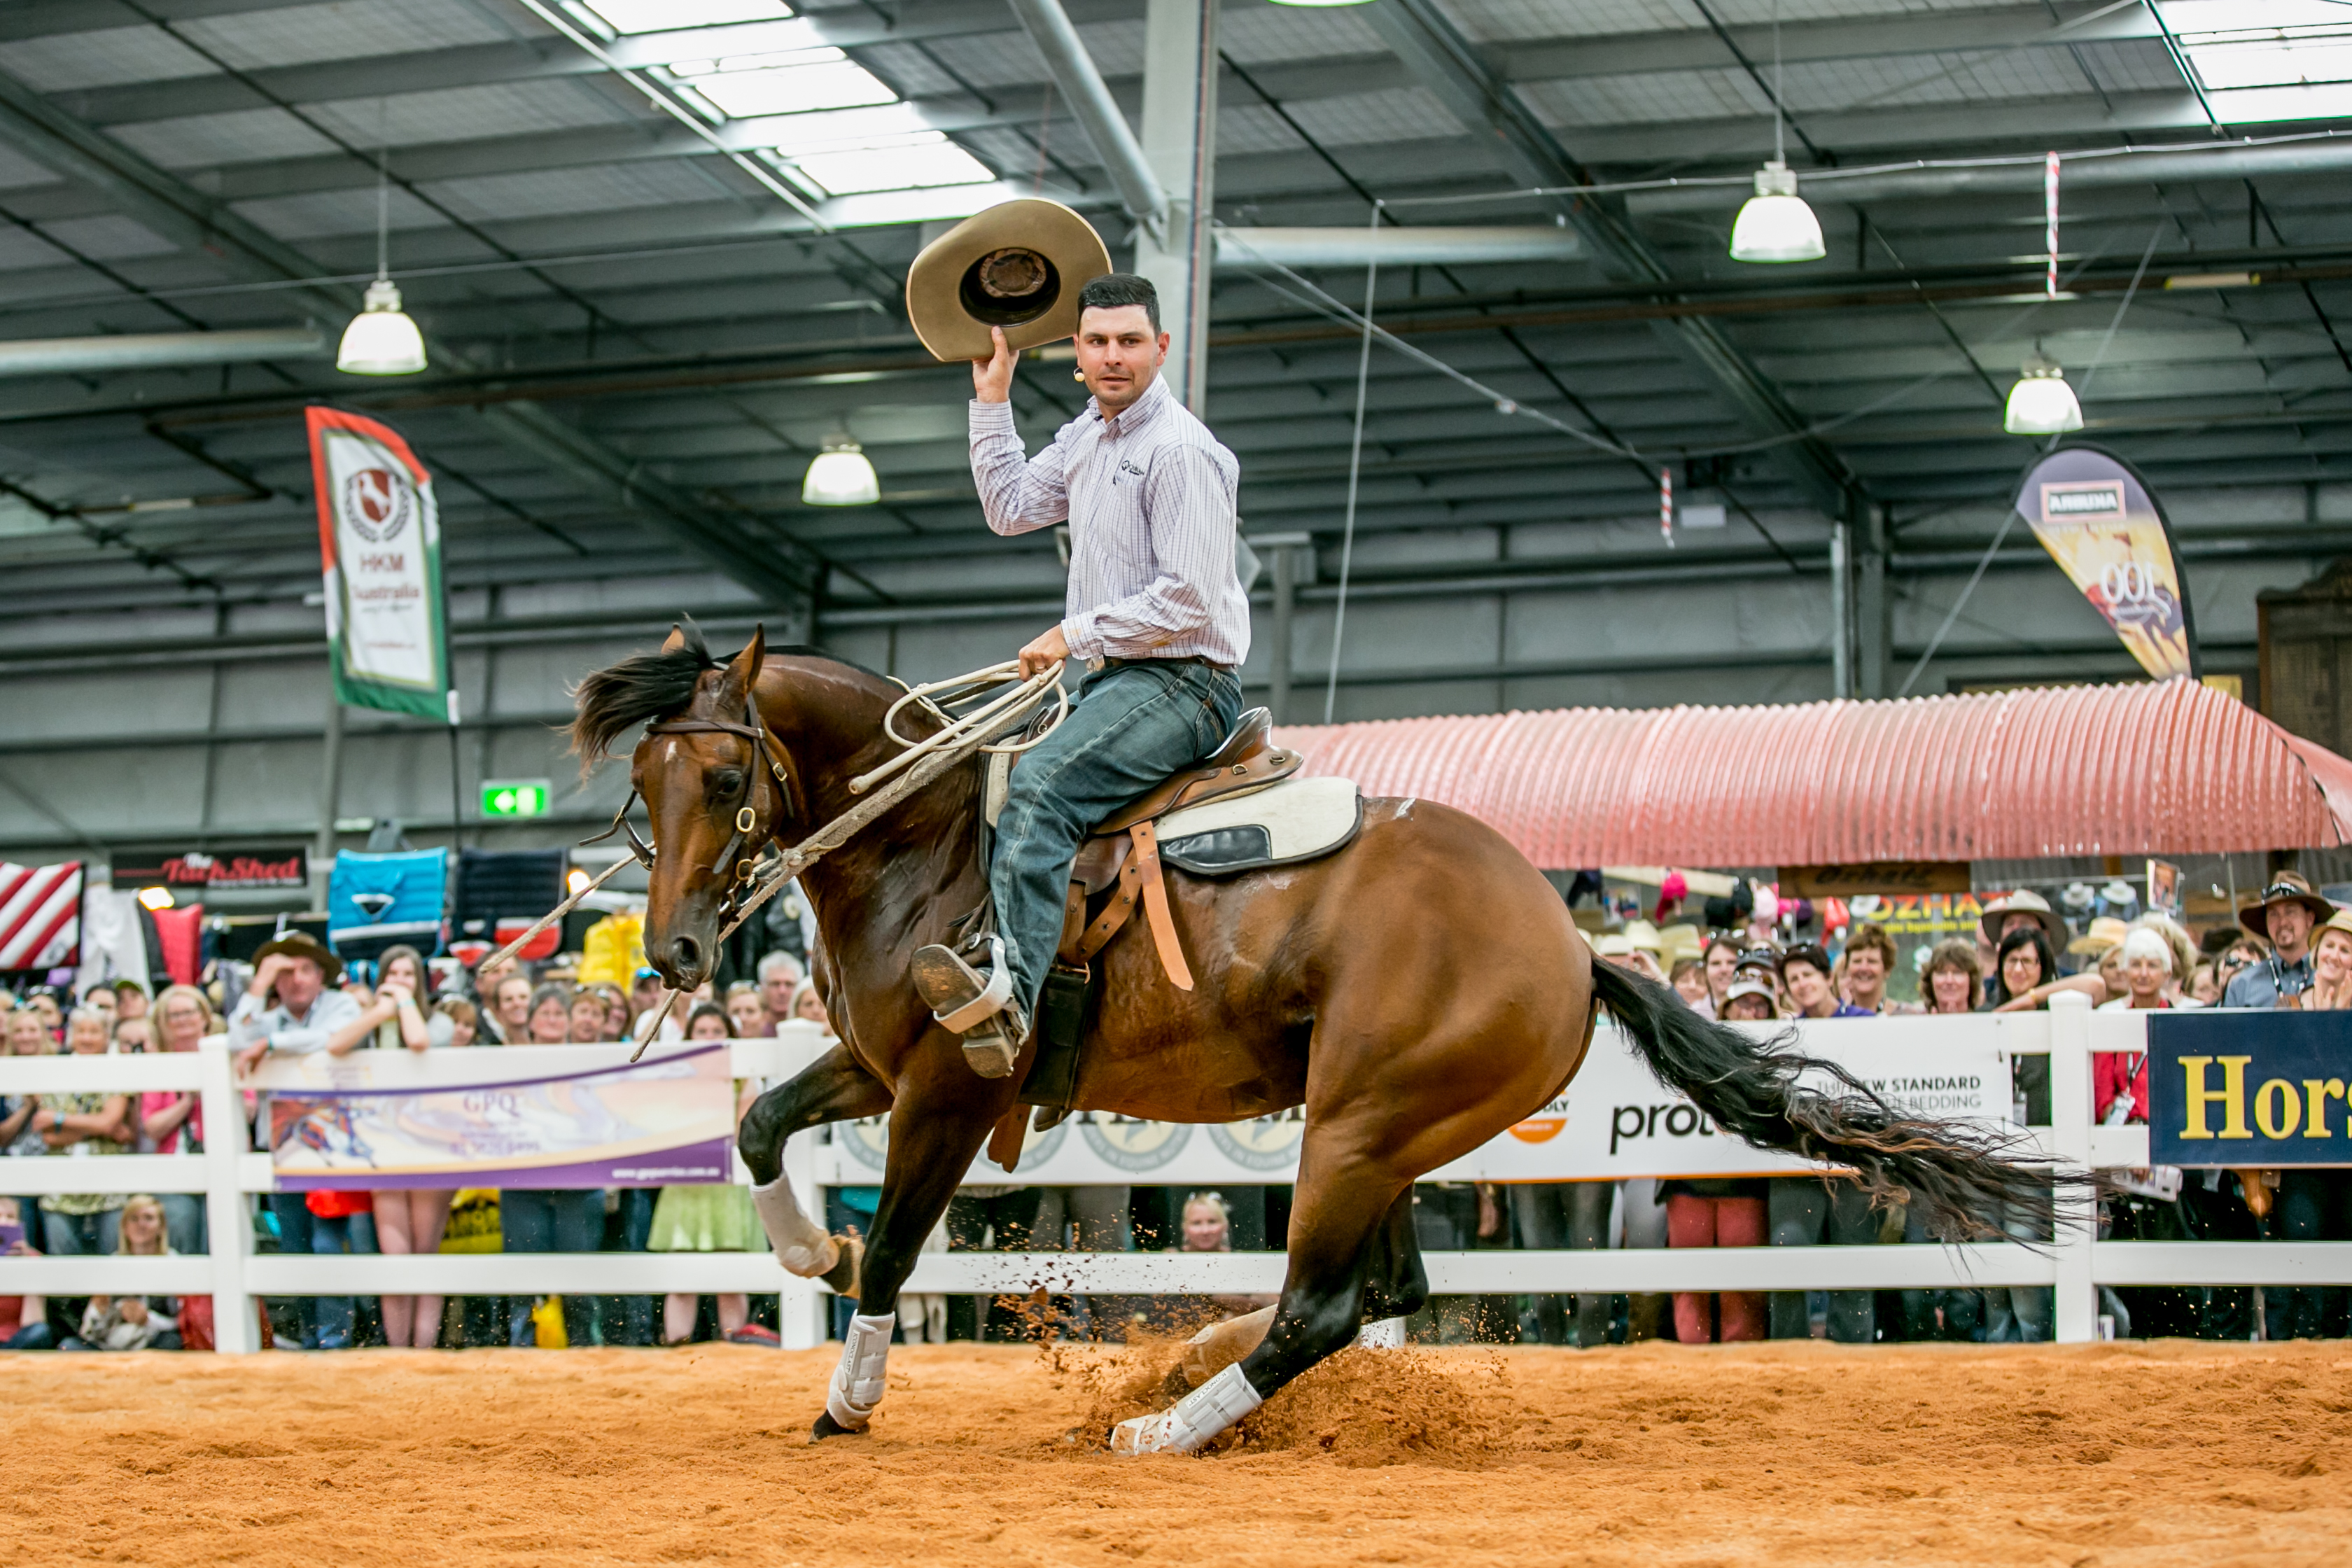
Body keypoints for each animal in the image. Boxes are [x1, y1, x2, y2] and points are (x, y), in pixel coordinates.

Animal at [578, 620, 2069, 1448]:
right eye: (642, 783)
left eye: (725, 771)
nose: (679, 953)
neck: (929, 844)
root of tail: (1570, 947)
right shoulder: (879, 1064)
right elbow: (758, 1121)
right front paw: (799, 1248)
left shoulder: (950, 1087)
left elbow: (892, 1247)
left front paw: (849, 1398)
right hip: (1380, 1133)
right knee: (1382, 1296)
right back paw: (1187, 1363)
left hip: (1357, 1126)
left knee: (1324, 1306)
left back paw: (1163, 1426)